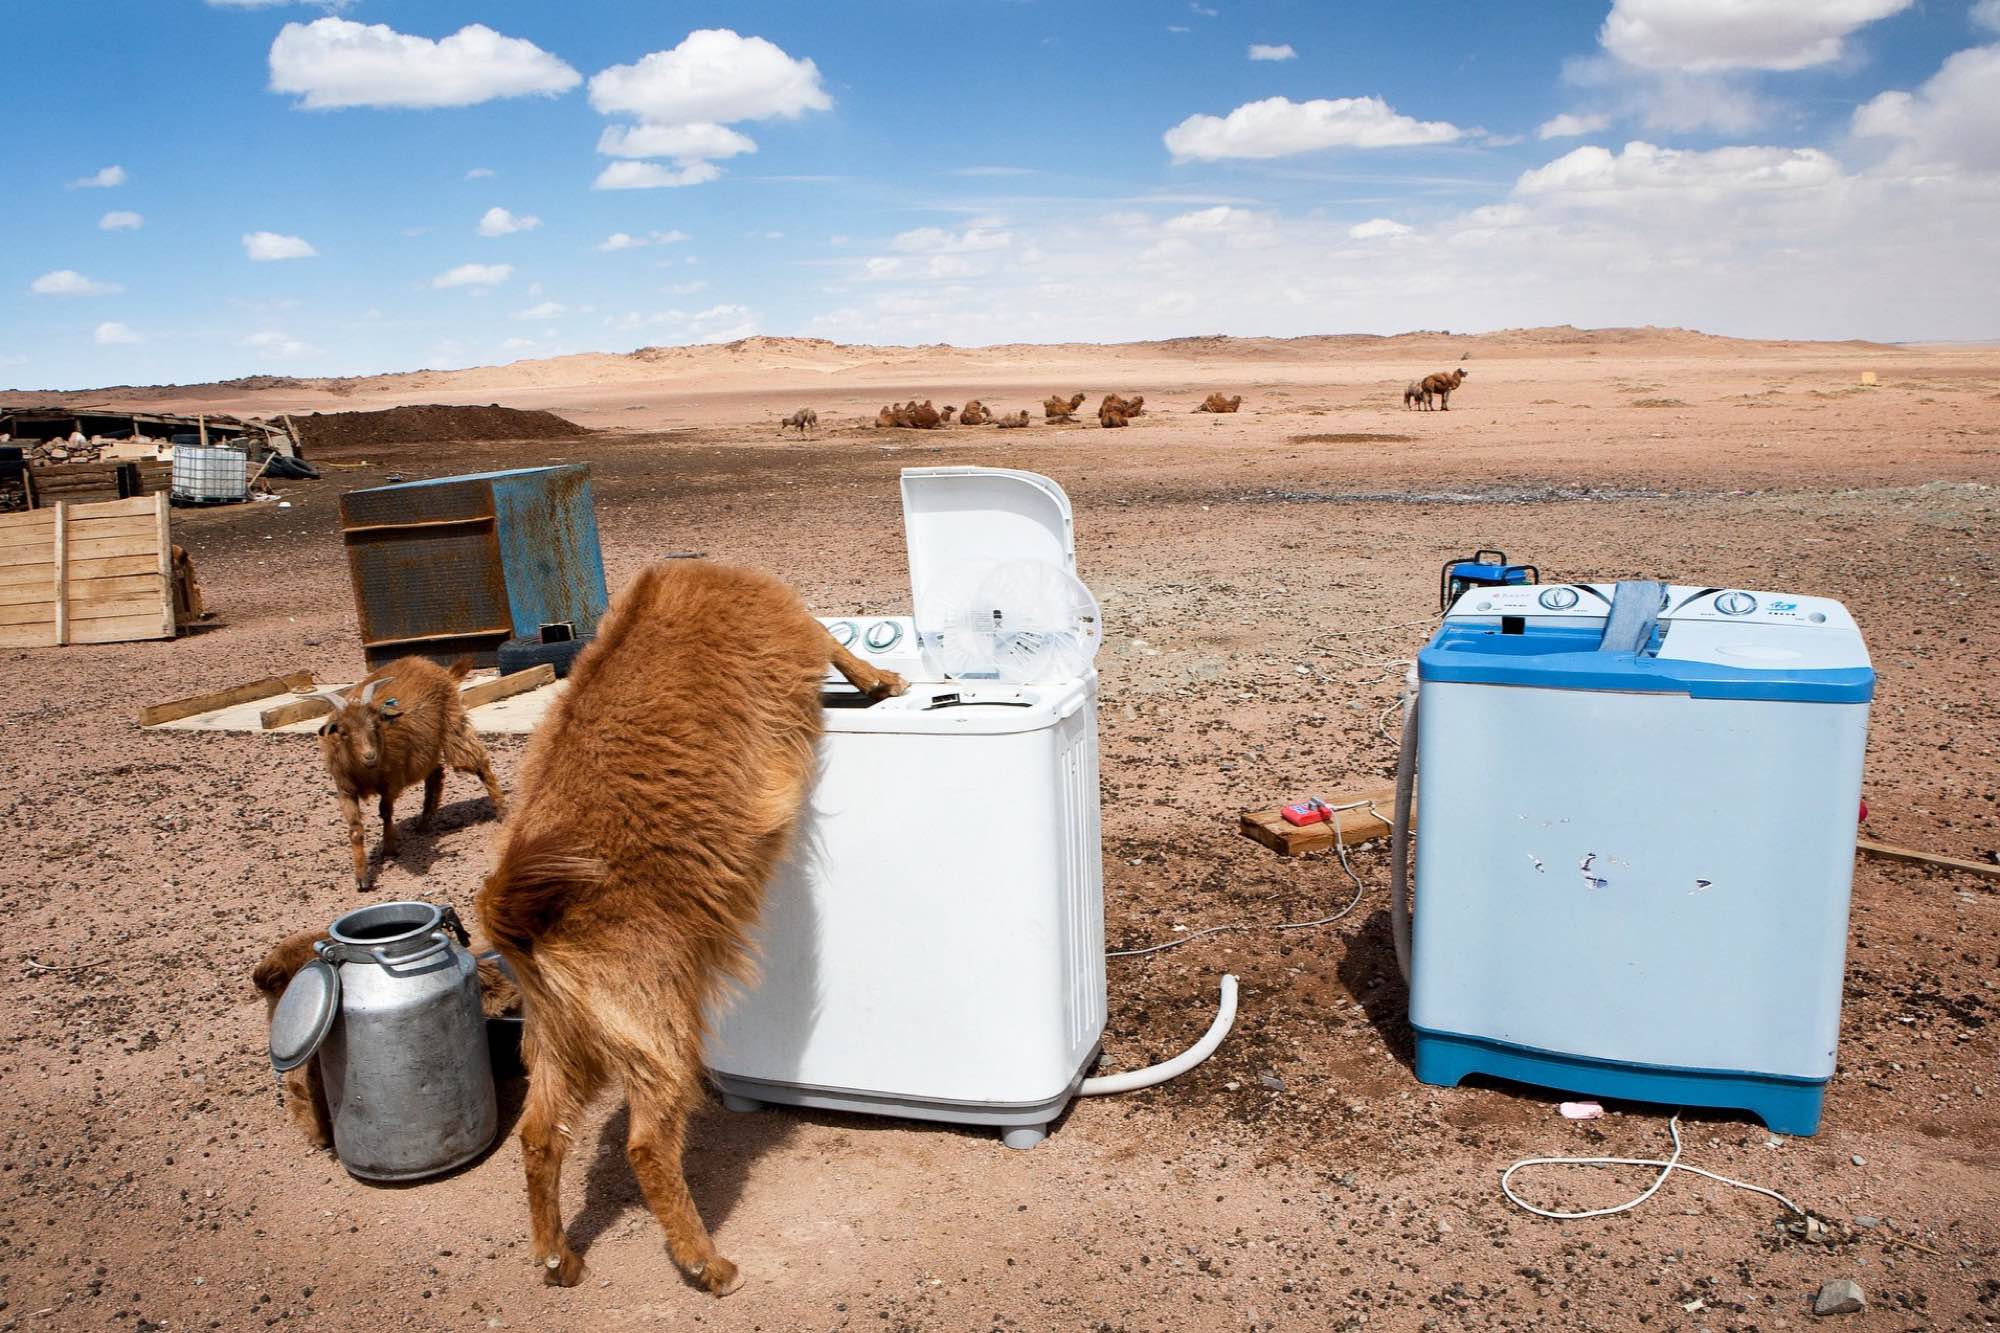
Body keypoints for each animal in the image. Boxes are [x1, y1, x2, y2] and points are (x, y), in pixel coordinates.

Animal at [316, 657, 505, 889]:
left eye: (376, 725)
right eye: (343, 732)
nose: (370, 756)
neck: (366, 772)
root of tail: (432, 666)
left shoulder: (391, 783)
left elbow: (385, 812)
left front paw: (389, 848)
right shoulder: (345, 790)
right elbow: (355, 830)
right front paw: (361, 878)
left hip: (453, 730)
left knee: (480, 764)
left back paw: (502, 811)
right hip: (427, 749)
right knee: (436, 775)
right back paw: (424, 823)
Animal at [477, 560, 906, 1295]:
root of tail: (521, 913)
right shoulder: (797, 635)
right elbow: (832, 644)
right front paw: (881, 678)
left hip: (560, 1038)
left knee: (538, 1134)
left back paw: (558, 1255)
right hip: (656, 1020)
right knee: (648, 1145)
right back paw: (707, 1262)